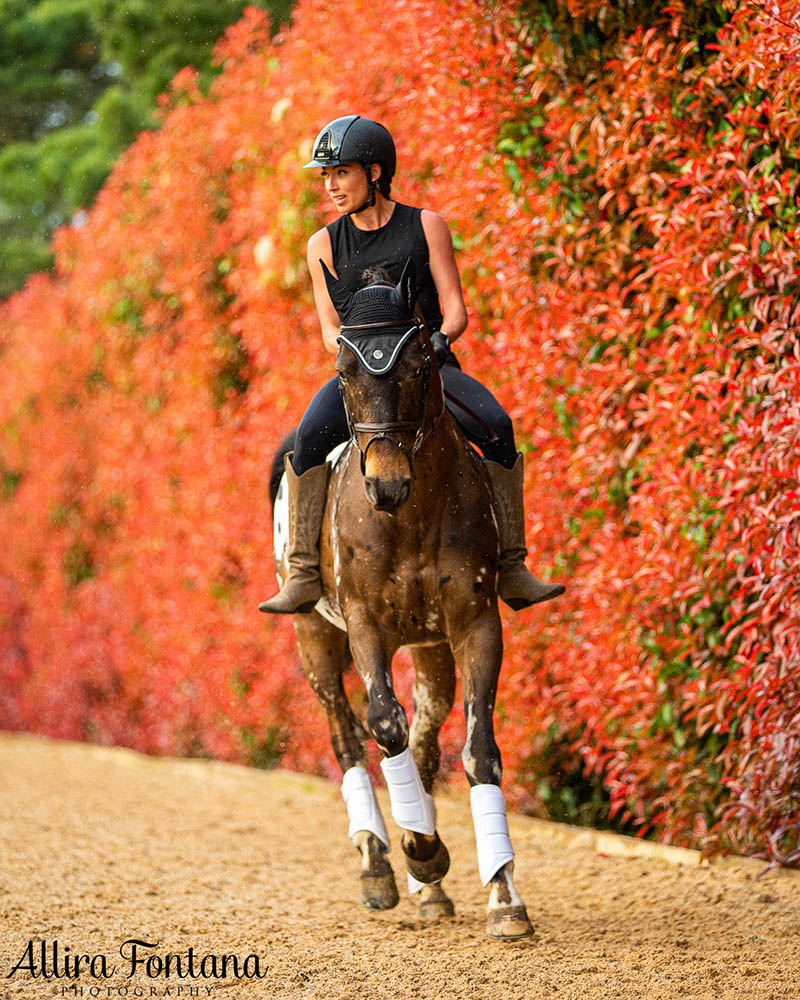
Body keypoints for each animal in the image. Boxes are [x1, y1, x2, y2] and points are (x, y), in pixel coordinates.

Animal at [272, 262, 536, 940]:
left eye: (420, 365)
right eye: (345, 370)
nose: (385, 484)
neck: (411, 516)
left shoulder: (474, 626)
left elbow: (479, 753)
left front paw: (503, 896)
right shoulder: (364, 624)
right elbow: (383, 724)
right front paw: (421, 852)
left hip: (431, 646)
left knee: (423, 743)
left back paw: (429, 885)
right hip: (314, 637)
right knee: (347, 738)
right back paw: (381, 866)